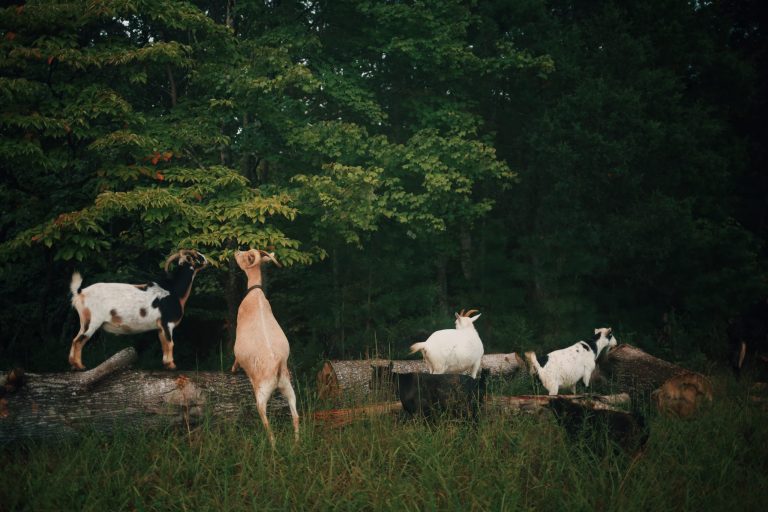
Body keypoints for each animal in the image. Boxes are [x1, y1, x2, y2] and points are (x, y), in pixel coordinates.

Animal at [68, 249, 208, 370]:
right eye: (196, 256)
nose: (206, 259)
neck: (174, 292)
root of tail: (80, 293)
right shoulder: (167, 323)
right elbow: (170, 343)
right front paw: (172, 365)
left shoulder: (160, 327)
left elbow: (163, 343)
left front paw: (166, 364)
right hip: (92, 321)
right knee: (79, 341)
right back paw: (80, 367)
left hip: (84, 322)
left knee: (75, 339)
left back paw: (74, 365)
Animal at [231, 249, 299, 446]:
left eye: (243, 255)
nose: (236, 251)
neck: (255, 294)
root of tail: (277, 367)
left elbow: (235, 358)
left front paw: (233, 369)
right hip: (288, 388)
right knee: (296, 416)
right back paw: (297, 443)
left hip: (261, 394)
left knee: (268, 425)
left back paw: (273, 446)